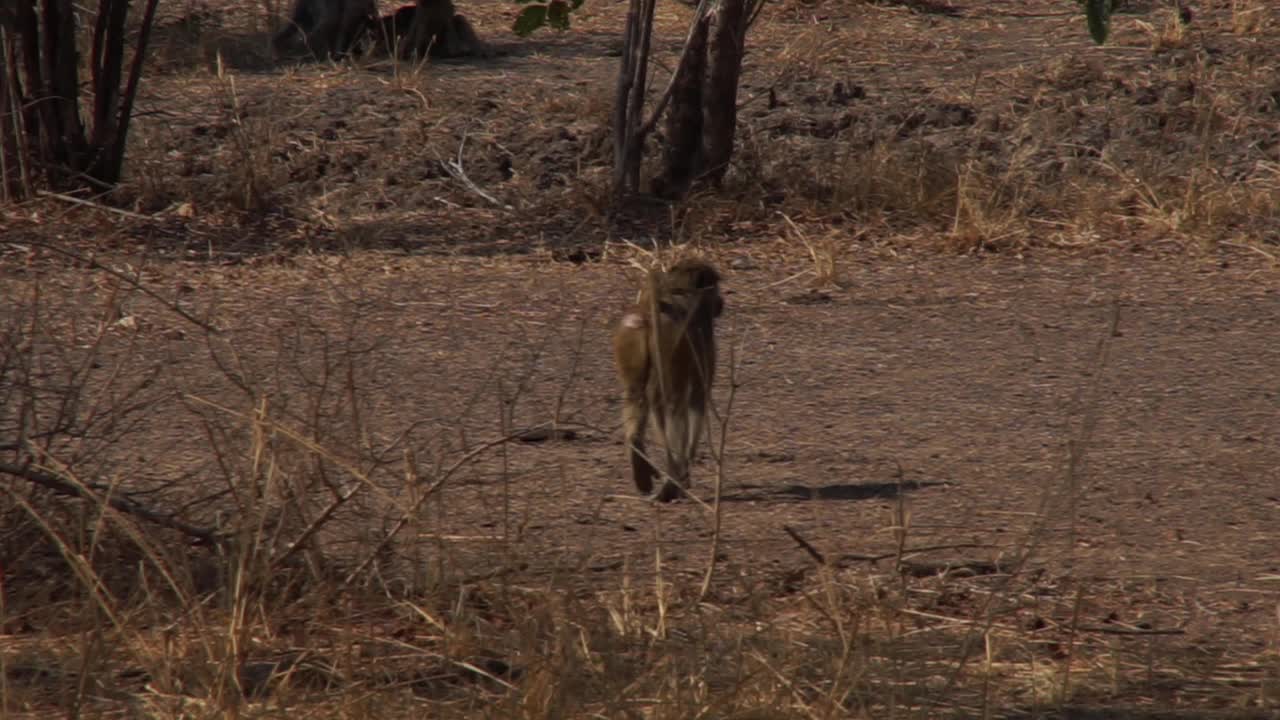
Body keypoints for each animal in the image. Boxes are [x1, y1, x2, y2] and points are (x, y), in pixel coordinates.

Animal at [609, 257, 721, 499]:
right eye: (715, 287)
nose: (721, 302)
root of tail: (649, 312)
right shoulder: (702, 331)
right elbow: (698, 397)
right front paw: (686, 469)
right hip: (670, 344)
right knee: (674, 404)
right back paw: (673, 481)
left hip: (629, 333)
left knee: (637, 395)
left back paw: (643, 462)